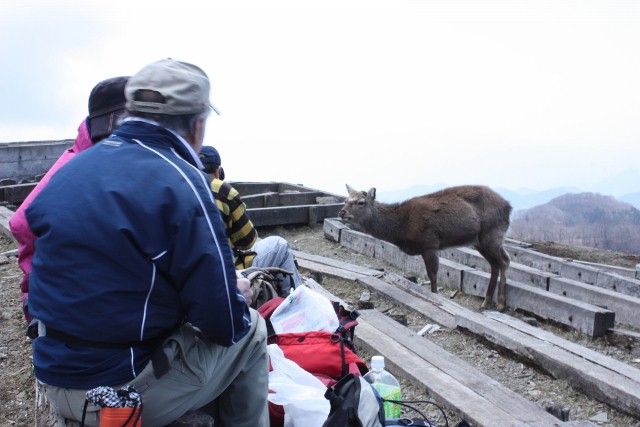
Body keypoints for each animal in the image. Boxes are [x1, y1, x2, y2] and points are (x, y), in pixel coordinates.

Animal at [338, 184, 512, 310]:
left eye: (361, 202)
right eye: (346, 200)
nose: (341, 212)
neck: (402, 228)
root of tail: (509, 206)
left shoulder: (430, 243)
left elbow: (432, 275)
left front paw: (435, 297)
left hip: (491, 234)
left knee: (503, 261)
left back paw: (501, 304)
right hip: (480, 241)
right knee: (497, 263)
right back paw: (486, 302)